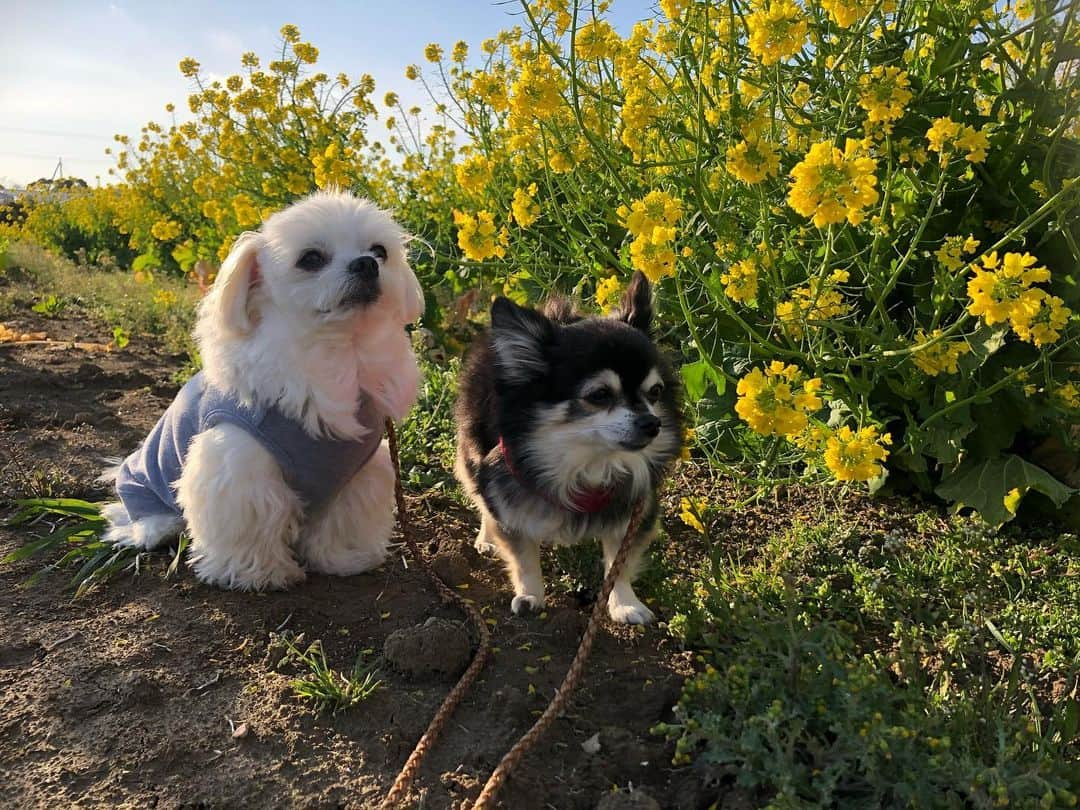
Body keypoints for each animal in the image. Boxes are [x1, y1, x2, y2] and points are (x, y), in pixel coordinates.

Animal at [100, 193, 421, 591]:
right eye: (310, 258)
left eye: (379, 251)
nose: (366, 264)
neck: (338, 354)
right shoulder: (238, 466)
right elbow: (250, 520)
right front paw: (257, 574)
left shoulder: (358, 473)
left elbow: (343, 520)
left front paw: (345, 559)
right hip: (144, 484)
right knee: (140, 517)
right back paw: (154, 528)